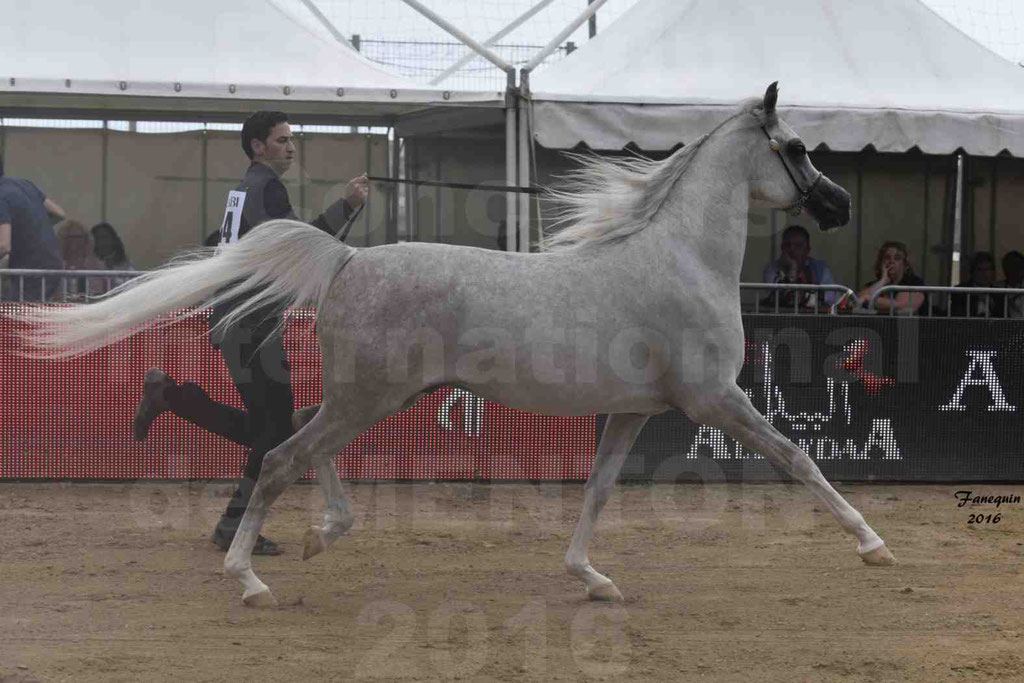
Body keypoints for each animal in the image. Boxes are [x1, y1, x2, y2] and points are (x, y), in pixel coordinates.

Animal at [16, 82, 897, 606]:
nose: (843, 204)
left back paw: (321, 533)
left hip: (375, 395)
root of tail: (347, 259)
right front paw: (875, 546)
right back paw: (250, 574)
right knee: (281, 454)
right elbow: (800, 459)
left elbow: (598, 491)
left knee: (294, 439)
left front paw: (592, 576)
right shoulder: (717, 399)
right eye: (795, 146)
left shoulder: (634, 411)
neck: (678, 256)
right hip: (370, 396)